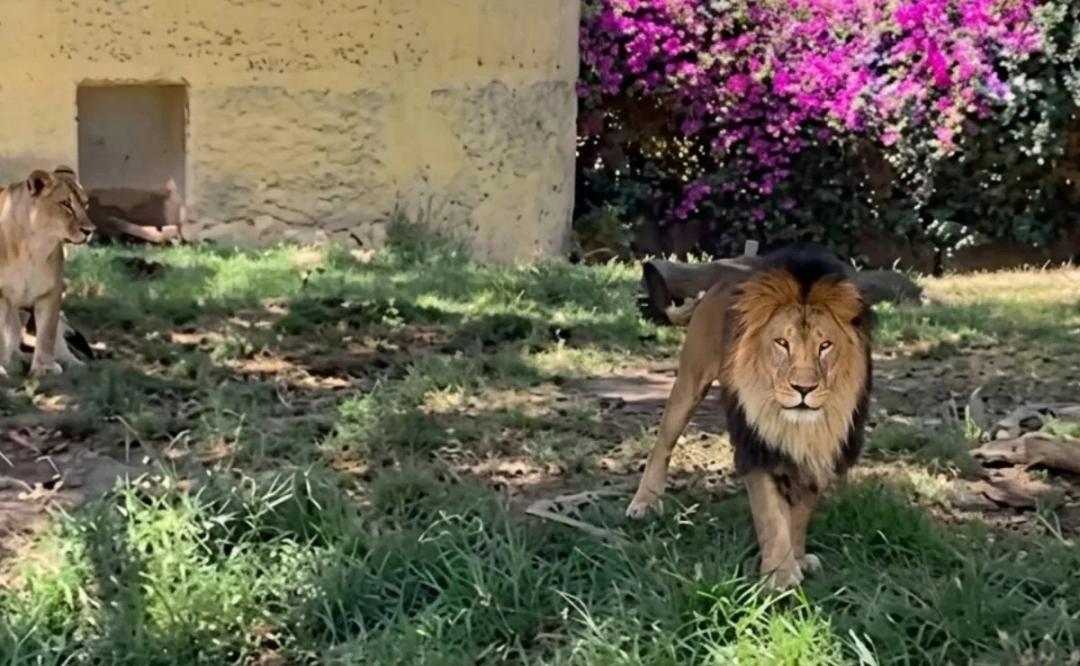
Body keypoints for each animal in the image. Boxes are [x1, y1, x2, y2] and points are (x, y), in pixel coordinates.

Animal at [0, 165, 94, 377]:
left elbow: (48, 332)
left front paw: (44, 367)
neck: (34, 247)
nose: (90, 230)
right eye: (66, 204)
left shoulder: (51, 292)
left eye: (85, 204)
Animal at [626, 244, 872, 589]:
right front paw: (780, 576)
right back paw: (643, 503)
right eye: (782, 343)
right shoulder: (755, 447)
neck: (798, 424)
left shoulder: (821, 449)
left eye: (825, 346)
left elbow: (799, 512)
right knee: (662, 444)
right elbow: (771, 514)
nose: (804, 389)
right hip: (689, 382)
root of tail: (723, 276)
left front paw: (797, 557)